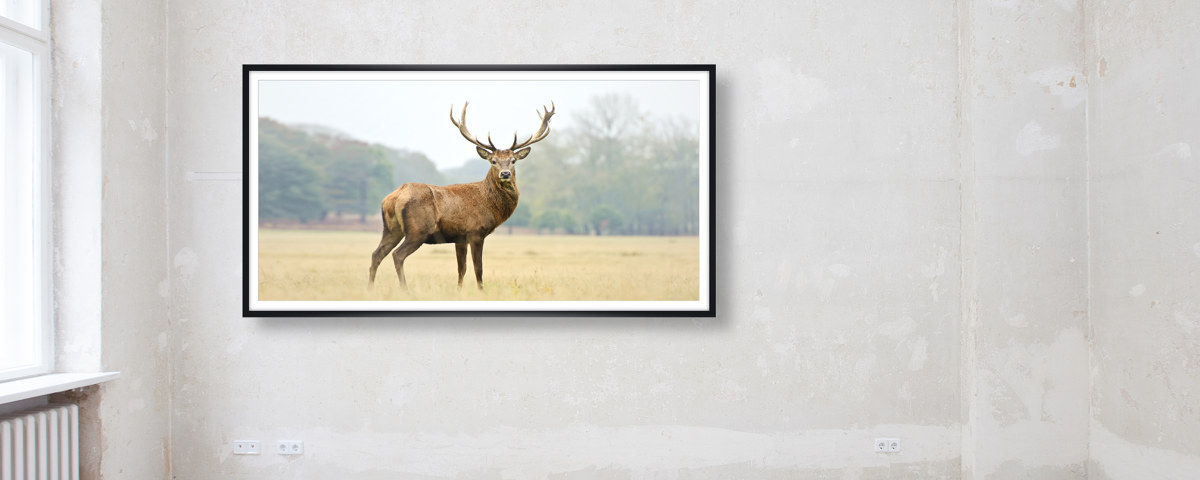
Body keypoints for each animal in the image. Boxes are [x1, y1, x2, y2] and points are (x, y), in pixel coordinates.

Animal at [368, 101, 555, 290]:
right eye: (493, 161)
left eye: (513, 160)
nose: (505, 173)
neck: (489, 204)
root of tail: (393, 197)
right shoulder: (476, 232)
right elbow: (478, 268)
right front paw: (481, 290)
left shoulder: (460, 238)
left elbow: (461, 269)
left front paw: (459, 290)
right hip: (417, 230)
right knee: (397, 255)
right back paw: (405, 289)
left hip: (391, 229)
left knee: (376, 254)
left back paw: (370, 288)